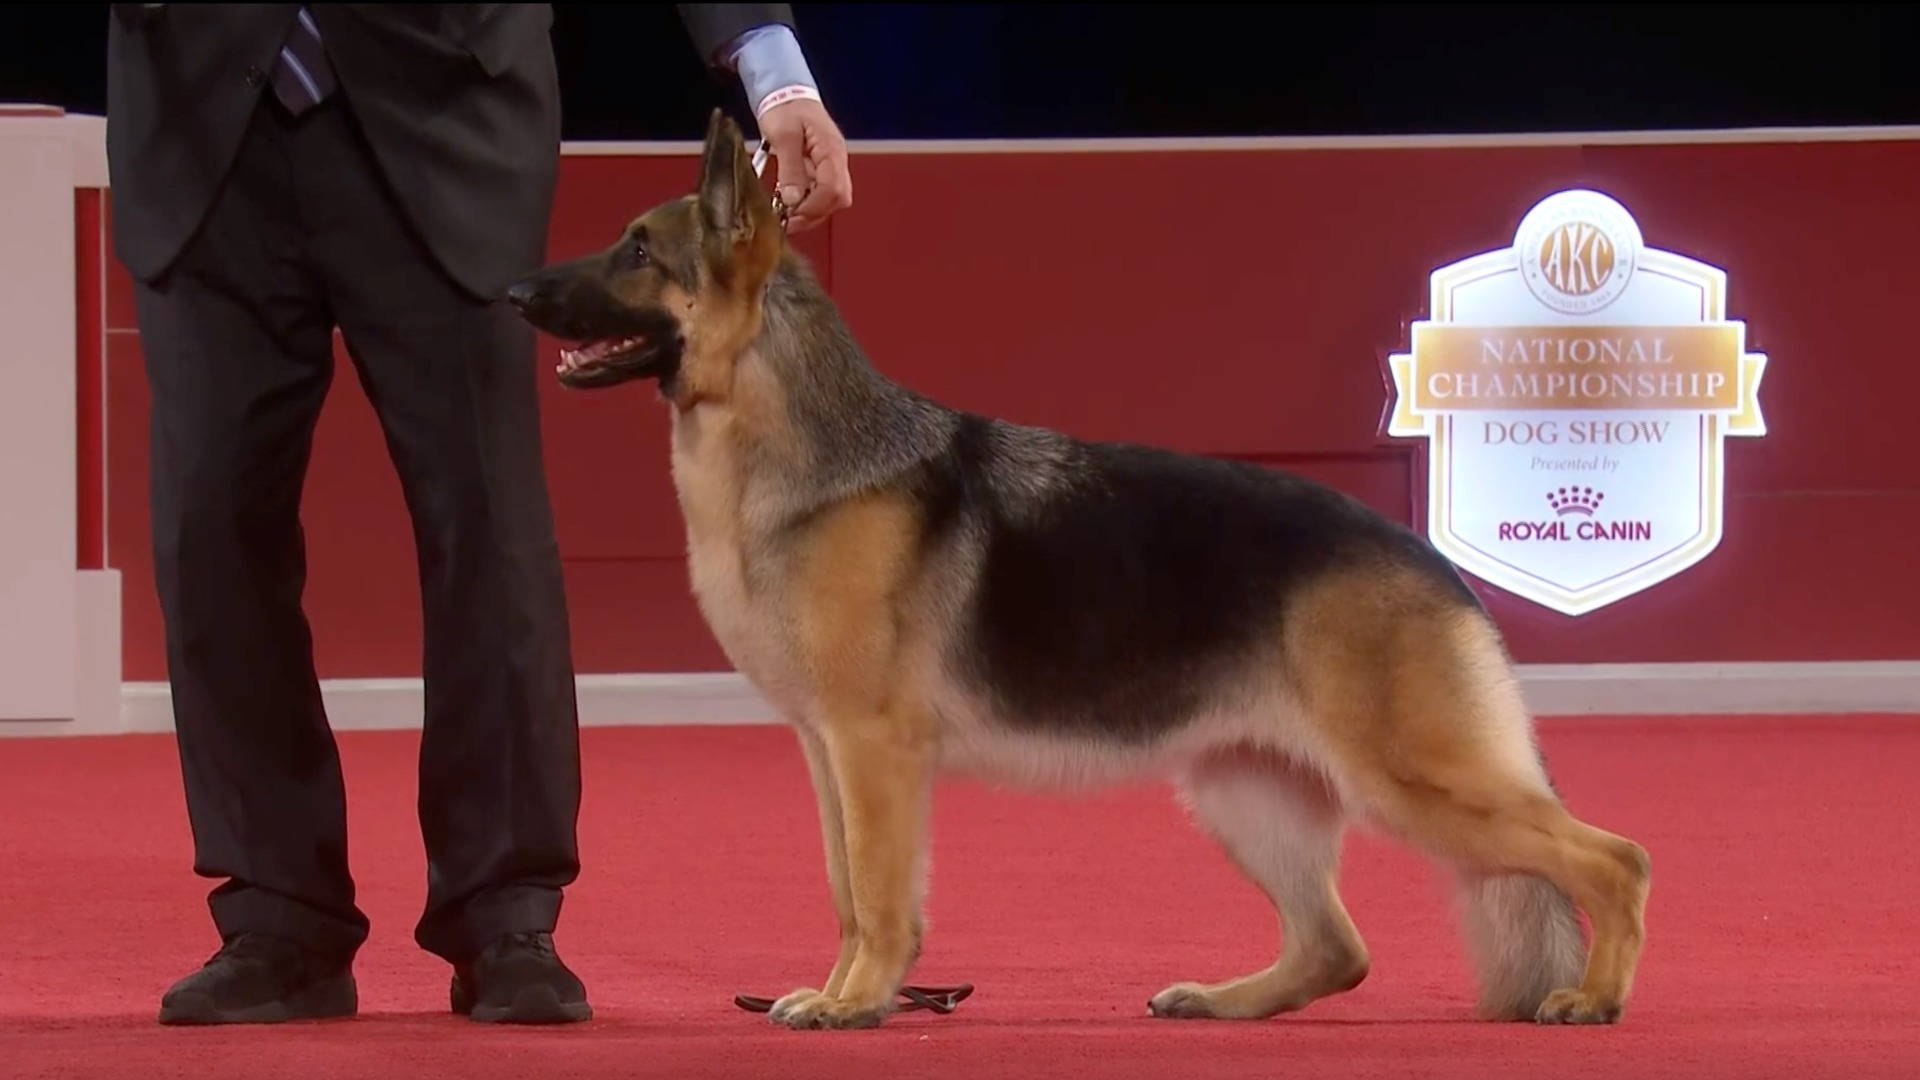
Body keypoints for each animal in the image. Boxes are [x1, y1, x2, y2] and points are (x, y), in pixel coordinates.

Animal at [510, 113, 1651, 1030]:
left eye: (638, 249)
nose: (516, 289)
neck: (794, 441)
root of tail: (1430, 558)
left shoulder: (873, 753)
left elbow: (878, 896)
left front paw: (859, 1003)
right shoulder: (824, 753)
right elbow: (843, 893)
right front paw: (841, 992)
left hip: (1417, 784)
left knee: (1615, 861)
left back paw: (1594, 997)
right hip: (1245, 794)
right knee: (1338, 948)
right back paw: (1225, 1001)